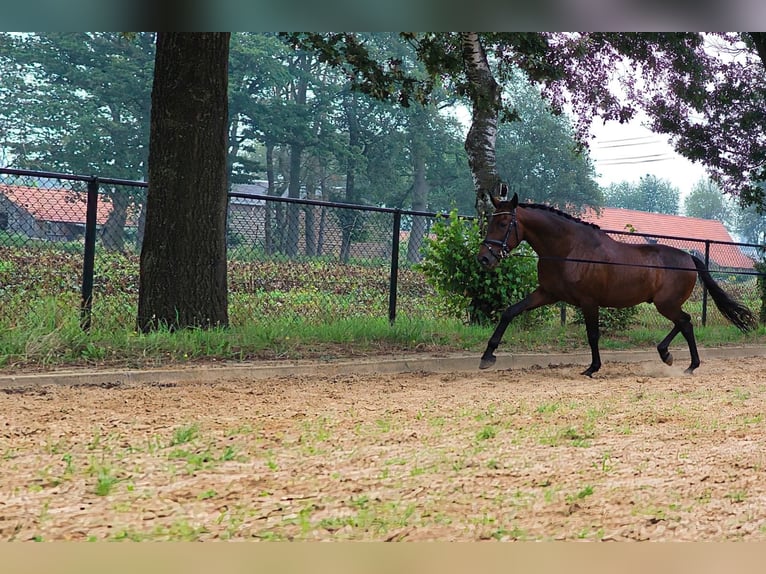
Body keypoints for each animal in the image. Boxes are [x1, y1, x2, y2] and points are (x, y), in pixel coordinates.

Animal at [476, 191, 760, 378]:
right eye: (490, 221)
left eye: (503, 223)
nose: (485, 258)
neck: (568, 250)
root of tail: (689, 257)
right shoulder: (547, 293)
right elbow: (510, 312)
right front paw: (487, 357)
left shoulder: (588, 301)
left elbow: (592, 334)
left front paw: (592, 368)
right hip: (665, 304)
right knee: (684, 322)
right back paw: (669, 356)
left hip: (665, 304)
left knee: (686, 322)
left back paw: (687, 364)